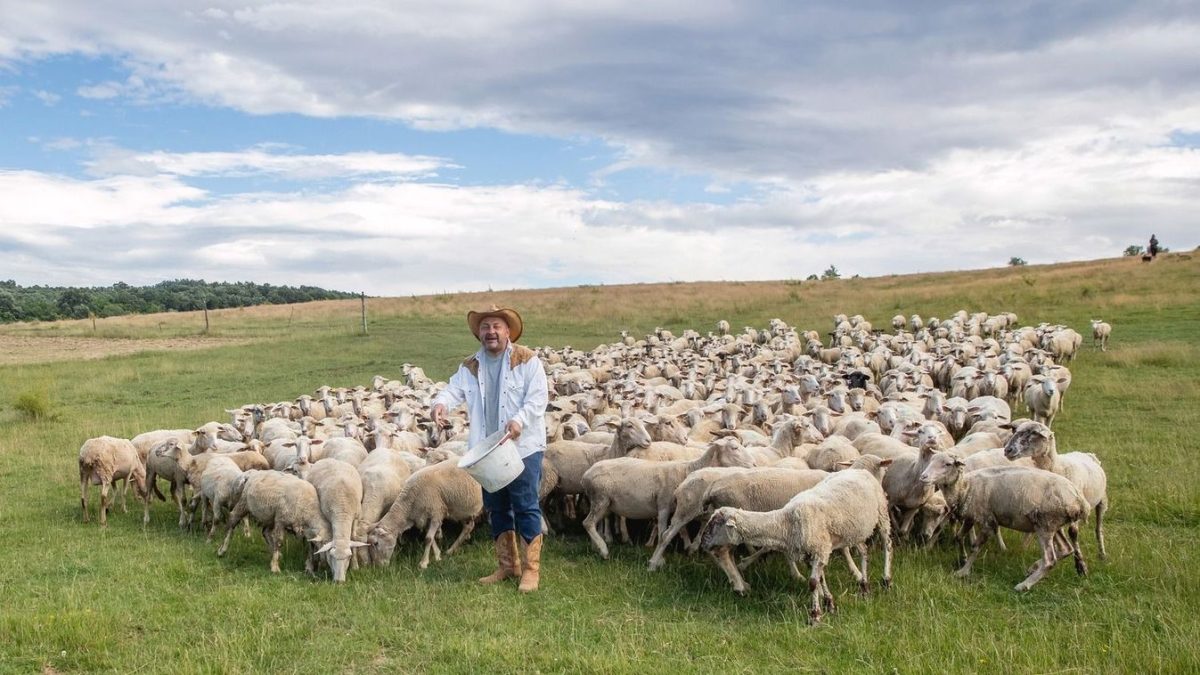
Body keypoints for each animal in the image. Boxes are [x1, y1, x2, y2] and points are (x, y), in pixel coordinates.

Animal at [696, 451, 892, 619]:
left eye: (715, 524)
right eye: (883, 469)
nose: (703, 542)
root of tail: (711, 488)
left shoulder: (830, 538)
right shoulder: (827, 539)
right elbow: (835, 560)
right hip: (879, 515)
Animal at [916, 451, 1089, 588]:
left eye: (947, 464)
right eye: (931, 460)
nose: (923, 477)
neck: (965, 487)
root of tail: (1078, 498)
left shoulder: (986, 520)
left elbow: (975, 547)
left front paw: (963, 572)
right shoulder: (971, 516)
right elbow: (959, 537)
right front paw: (962, 558)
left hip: (1045, 525)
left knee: (1050, 560)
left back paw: (1024, 585)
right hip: (1054, 525)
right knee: (1066, 549)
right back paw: (1033, 568)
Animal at [998, 420, 1108, 557]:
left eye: (1033, 433)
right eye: (1014, 430)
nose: (1008, 450)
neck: (1058, 467)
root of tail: (1085, 453)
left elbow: (1073, 532)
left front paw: (1078, 557)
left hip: (1102, 500)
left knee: (1099, 527)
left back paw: (1102, 554)